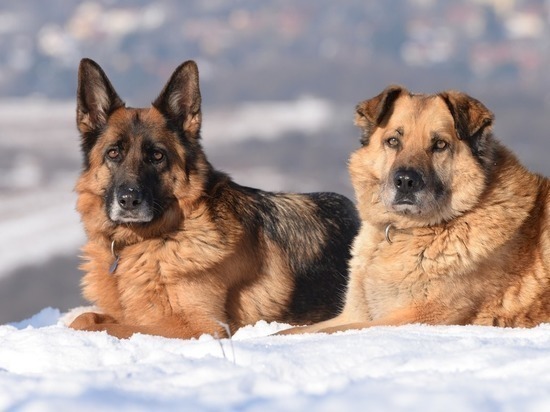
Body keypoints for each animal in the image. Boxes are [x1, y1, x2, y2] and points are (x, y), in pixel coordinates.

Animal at [69, 59, 360, 340]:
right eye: (114, 153)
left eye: (157, 156)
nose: (129, 200)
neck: (151, 240)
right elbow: (85, 317)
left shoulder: (198, 328)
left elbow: (96, 326)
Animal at [282, 84, 550, 334]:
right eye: (393, 141)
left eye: (440, 144)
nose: (405, 181)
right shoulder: (354, 312)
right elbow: (292, 331)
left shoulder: (416, 317)